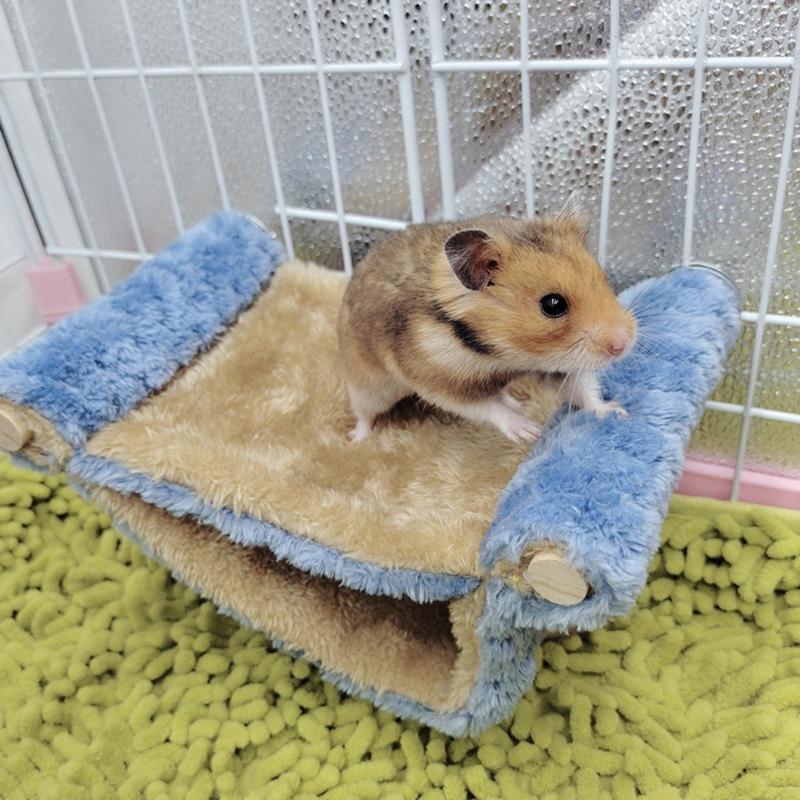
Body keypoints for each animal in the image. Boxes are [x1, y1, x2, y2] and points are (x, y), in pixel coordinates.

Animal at [337, 207, 637, 443]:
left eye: (603, 278)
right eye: (553, 305)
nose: (623, 345)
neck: (503, 354)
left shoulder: (556, 364)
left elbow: (583, 389)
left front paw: (617, 412)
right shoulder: (439, 383)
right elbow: (486, 407)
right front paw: (530, 431)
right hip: (367, 386)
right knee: (364, 413)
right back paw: (356, 439)